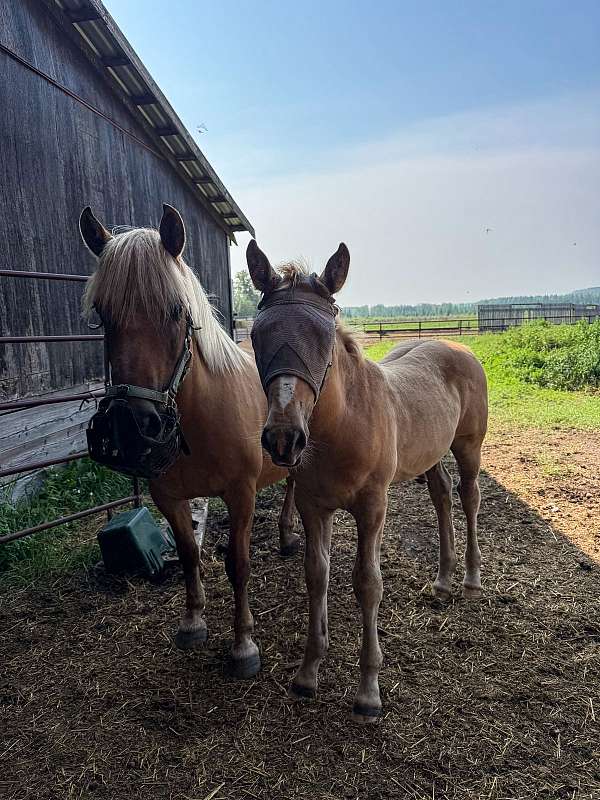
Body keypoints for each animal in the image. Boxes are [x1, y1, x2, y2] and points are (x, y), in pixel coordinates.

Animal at [78, 203, 299, 678]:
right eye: (102, 314)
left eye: (176, 310)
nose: (130, 426)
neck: (199, 420)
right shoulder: (168, 497)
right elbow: (188, 555)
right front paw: (193, 623)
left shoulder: (241, 494)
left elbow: (238, 563)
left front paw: (243, 645)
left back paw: (290, 537)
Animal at [246, 240, 488, 721]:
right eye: (258, 336)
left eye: (325, 338)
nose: (283, 438)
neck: (343, 426)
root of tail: (460, 346)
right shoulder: (313, 506)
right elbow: (316, 574)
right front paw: (308, 673)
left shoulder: (372, 507)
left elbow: (367, 583)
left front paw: (368, 693)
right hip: (430, 453)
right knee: (442, 496)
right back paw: (442, 581)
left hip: (469, 446)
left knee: (469, 497)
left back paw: (470, 580)